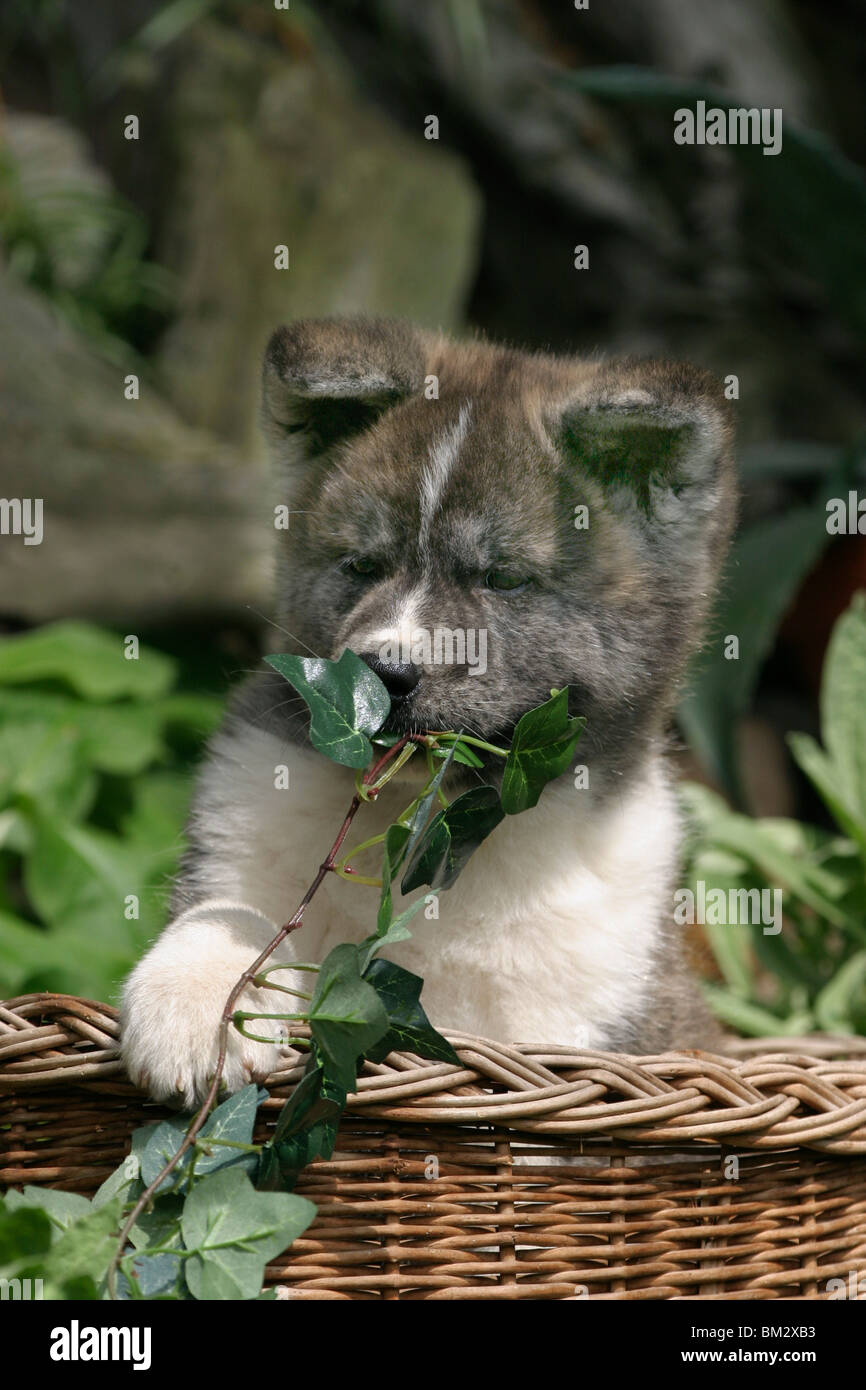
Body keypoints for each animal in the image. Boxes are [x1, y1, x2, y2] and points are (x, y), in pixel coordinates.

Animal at [118, 318, 733, 1106]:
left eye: (504, 579)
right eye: (362, 565)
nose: (381, 675)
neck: (439, 832)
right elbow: (231, 910)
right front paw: (197, 998)